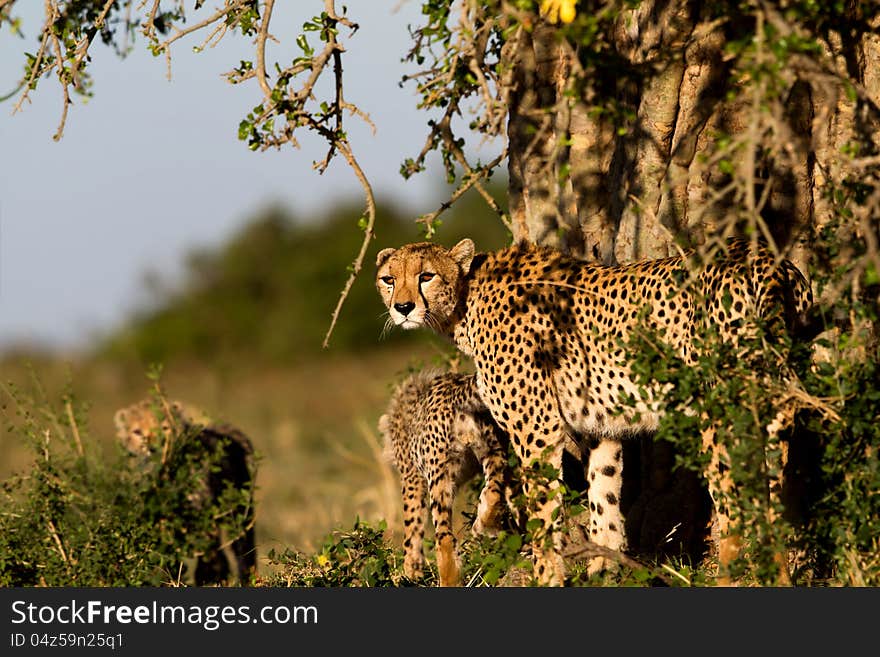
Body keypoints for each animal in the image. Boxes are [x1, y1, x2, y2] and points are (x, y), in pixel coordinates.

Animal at [380, 366, 516, 588]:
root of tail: (453, 389)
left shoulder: (412, 479)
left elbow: (411, 532)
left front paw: (411, 572)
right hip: (493, 452)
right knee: (493, 491)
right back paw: (485, 525)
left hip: (438, 477)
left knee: (444, 537)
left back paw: (449, 578)